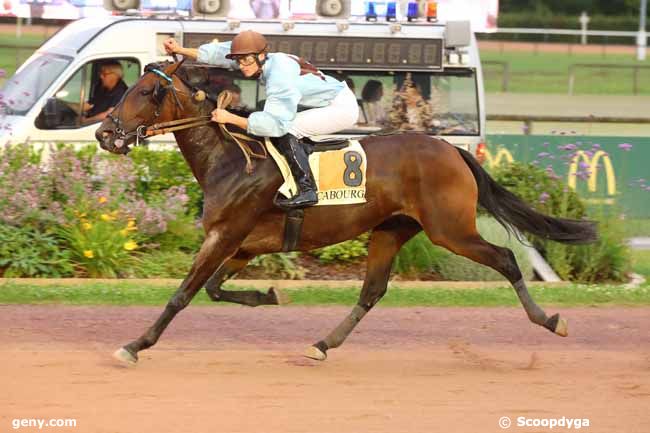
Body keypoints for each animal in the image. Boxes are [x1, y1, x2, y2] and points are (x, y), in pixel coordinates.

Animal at [93, 61, 596, 364]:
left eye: (145, 91)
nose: (103, 133)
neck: (231, 160)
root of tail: (452, 149)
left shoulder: (224, 237)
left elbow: (183, 295)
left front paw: (135, 345)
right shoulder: (243, 245)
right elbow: (216, 290)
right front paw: (269, 295)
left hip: (449, 230)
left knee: (506, 259)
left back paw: (551, 320)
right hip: (392, 230)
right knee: (372, 291)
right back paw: (322, 343)